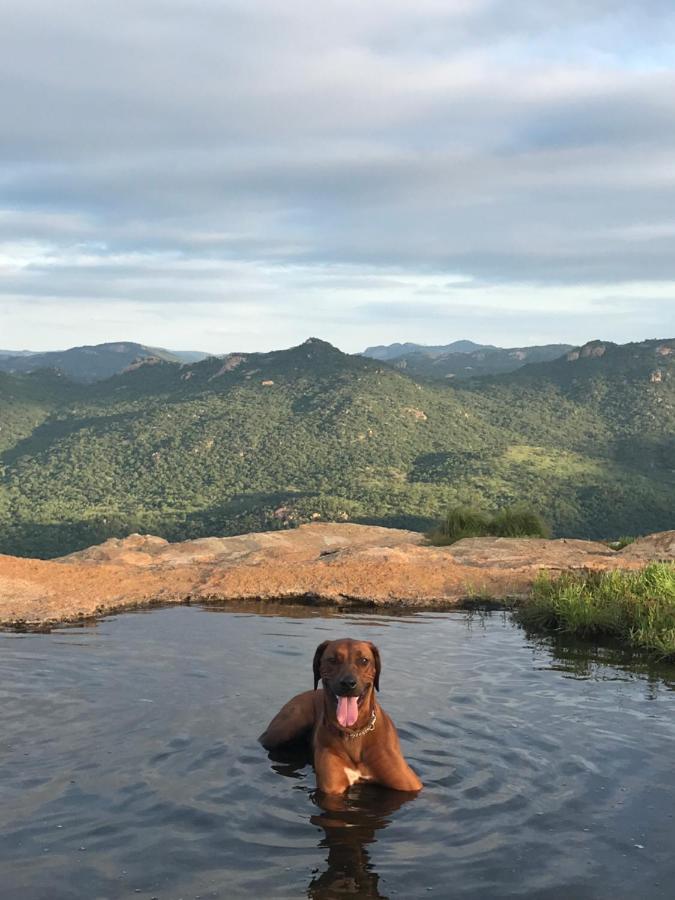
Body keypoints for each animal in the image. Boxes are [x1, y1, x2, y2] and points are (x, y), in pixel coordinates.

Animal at [258, 640, 422, 796]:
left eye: (364, 660)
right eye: (332, 660)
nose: (348, 683)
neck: (354, 732)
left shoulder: (408, 784)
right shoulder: (332, 788)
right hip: (287, 726)